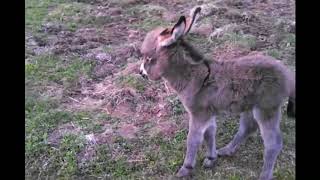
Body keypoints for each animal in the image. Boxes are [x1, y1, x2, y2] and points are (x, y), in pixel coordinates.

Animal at [138, 7, 296, 180]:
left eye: (149, 58)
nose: (141, 73)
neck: (191, 76)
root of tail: (287, 74)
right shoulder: (208, 113)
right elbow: (210, 133)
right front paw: (211, 158)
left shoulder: (199, 114)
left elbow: (193, 139)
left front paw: (186, 168)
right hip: (250, 106)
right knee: (247, 128)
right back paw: (226, 150)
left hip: (266, 108)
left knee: (273, 143)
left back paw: (264, 175)